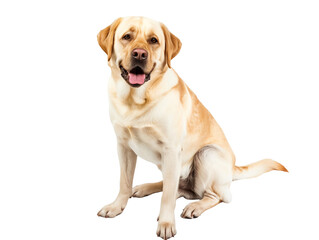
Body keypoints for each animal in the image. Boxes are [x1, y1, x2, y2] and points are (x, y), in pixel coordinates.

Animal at [96, 16, 288, 238]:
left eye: (153, 40)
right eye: (127, 37)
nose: (140, 54)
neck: (135, 100)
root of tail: (233, 168)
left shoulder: (171, 149)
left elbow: (167, 196)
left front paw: (166, 223)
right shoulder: (124, 146)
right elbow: (124, 182)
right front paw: (116, 206)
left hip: (206, 154)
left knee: (211, 195)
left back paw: (194, 207)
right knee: (179, 187)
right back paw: (145, 188)